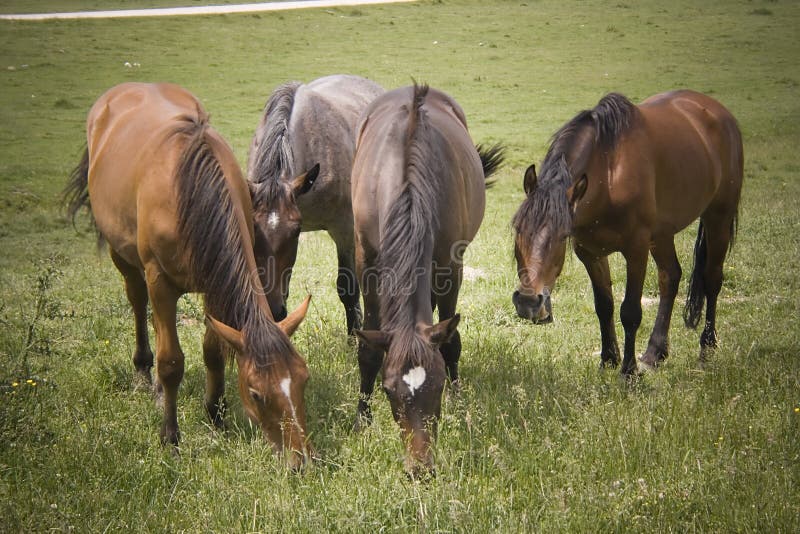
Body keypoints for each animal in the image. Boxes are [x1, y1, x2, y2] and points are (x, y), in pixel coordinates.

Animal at [64, 82, 314, 468]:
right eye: (256, 393)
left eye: (303, 379)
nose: (299, 460)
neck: (189, 192)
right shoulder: (160, 281)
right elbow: (171, 362)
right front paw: (170, 437)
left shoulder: (213, 284)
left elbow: (213, 350)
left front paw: (215, 414)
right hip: (124, 256)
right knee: (138, 302)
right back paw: (143, 373)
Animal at [348, 84, 500, 478]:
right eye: (390, 391)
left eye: (438, 385)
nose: (420, 468)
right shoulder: (366, 260)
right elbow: (369, 349)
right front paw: (361, 417)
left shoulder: (450, 264)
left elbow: (450, 341)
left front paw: (460, 402)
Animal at [512, 90, 744, 376]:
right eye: (518, 228)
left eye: (562, 235)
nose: (527, 302)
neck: (609, 174)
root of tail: (719, 112)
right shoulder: (590, 253)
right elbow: (604, 306)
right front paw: (608, 360)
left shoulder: (636, 249)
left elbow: (630, 312)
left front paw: (628, 371)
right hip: (662, 234)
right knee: (670, 277)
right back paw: (655, 352)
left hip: (718, 217)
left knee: (712, 279)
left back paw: (706, 350)